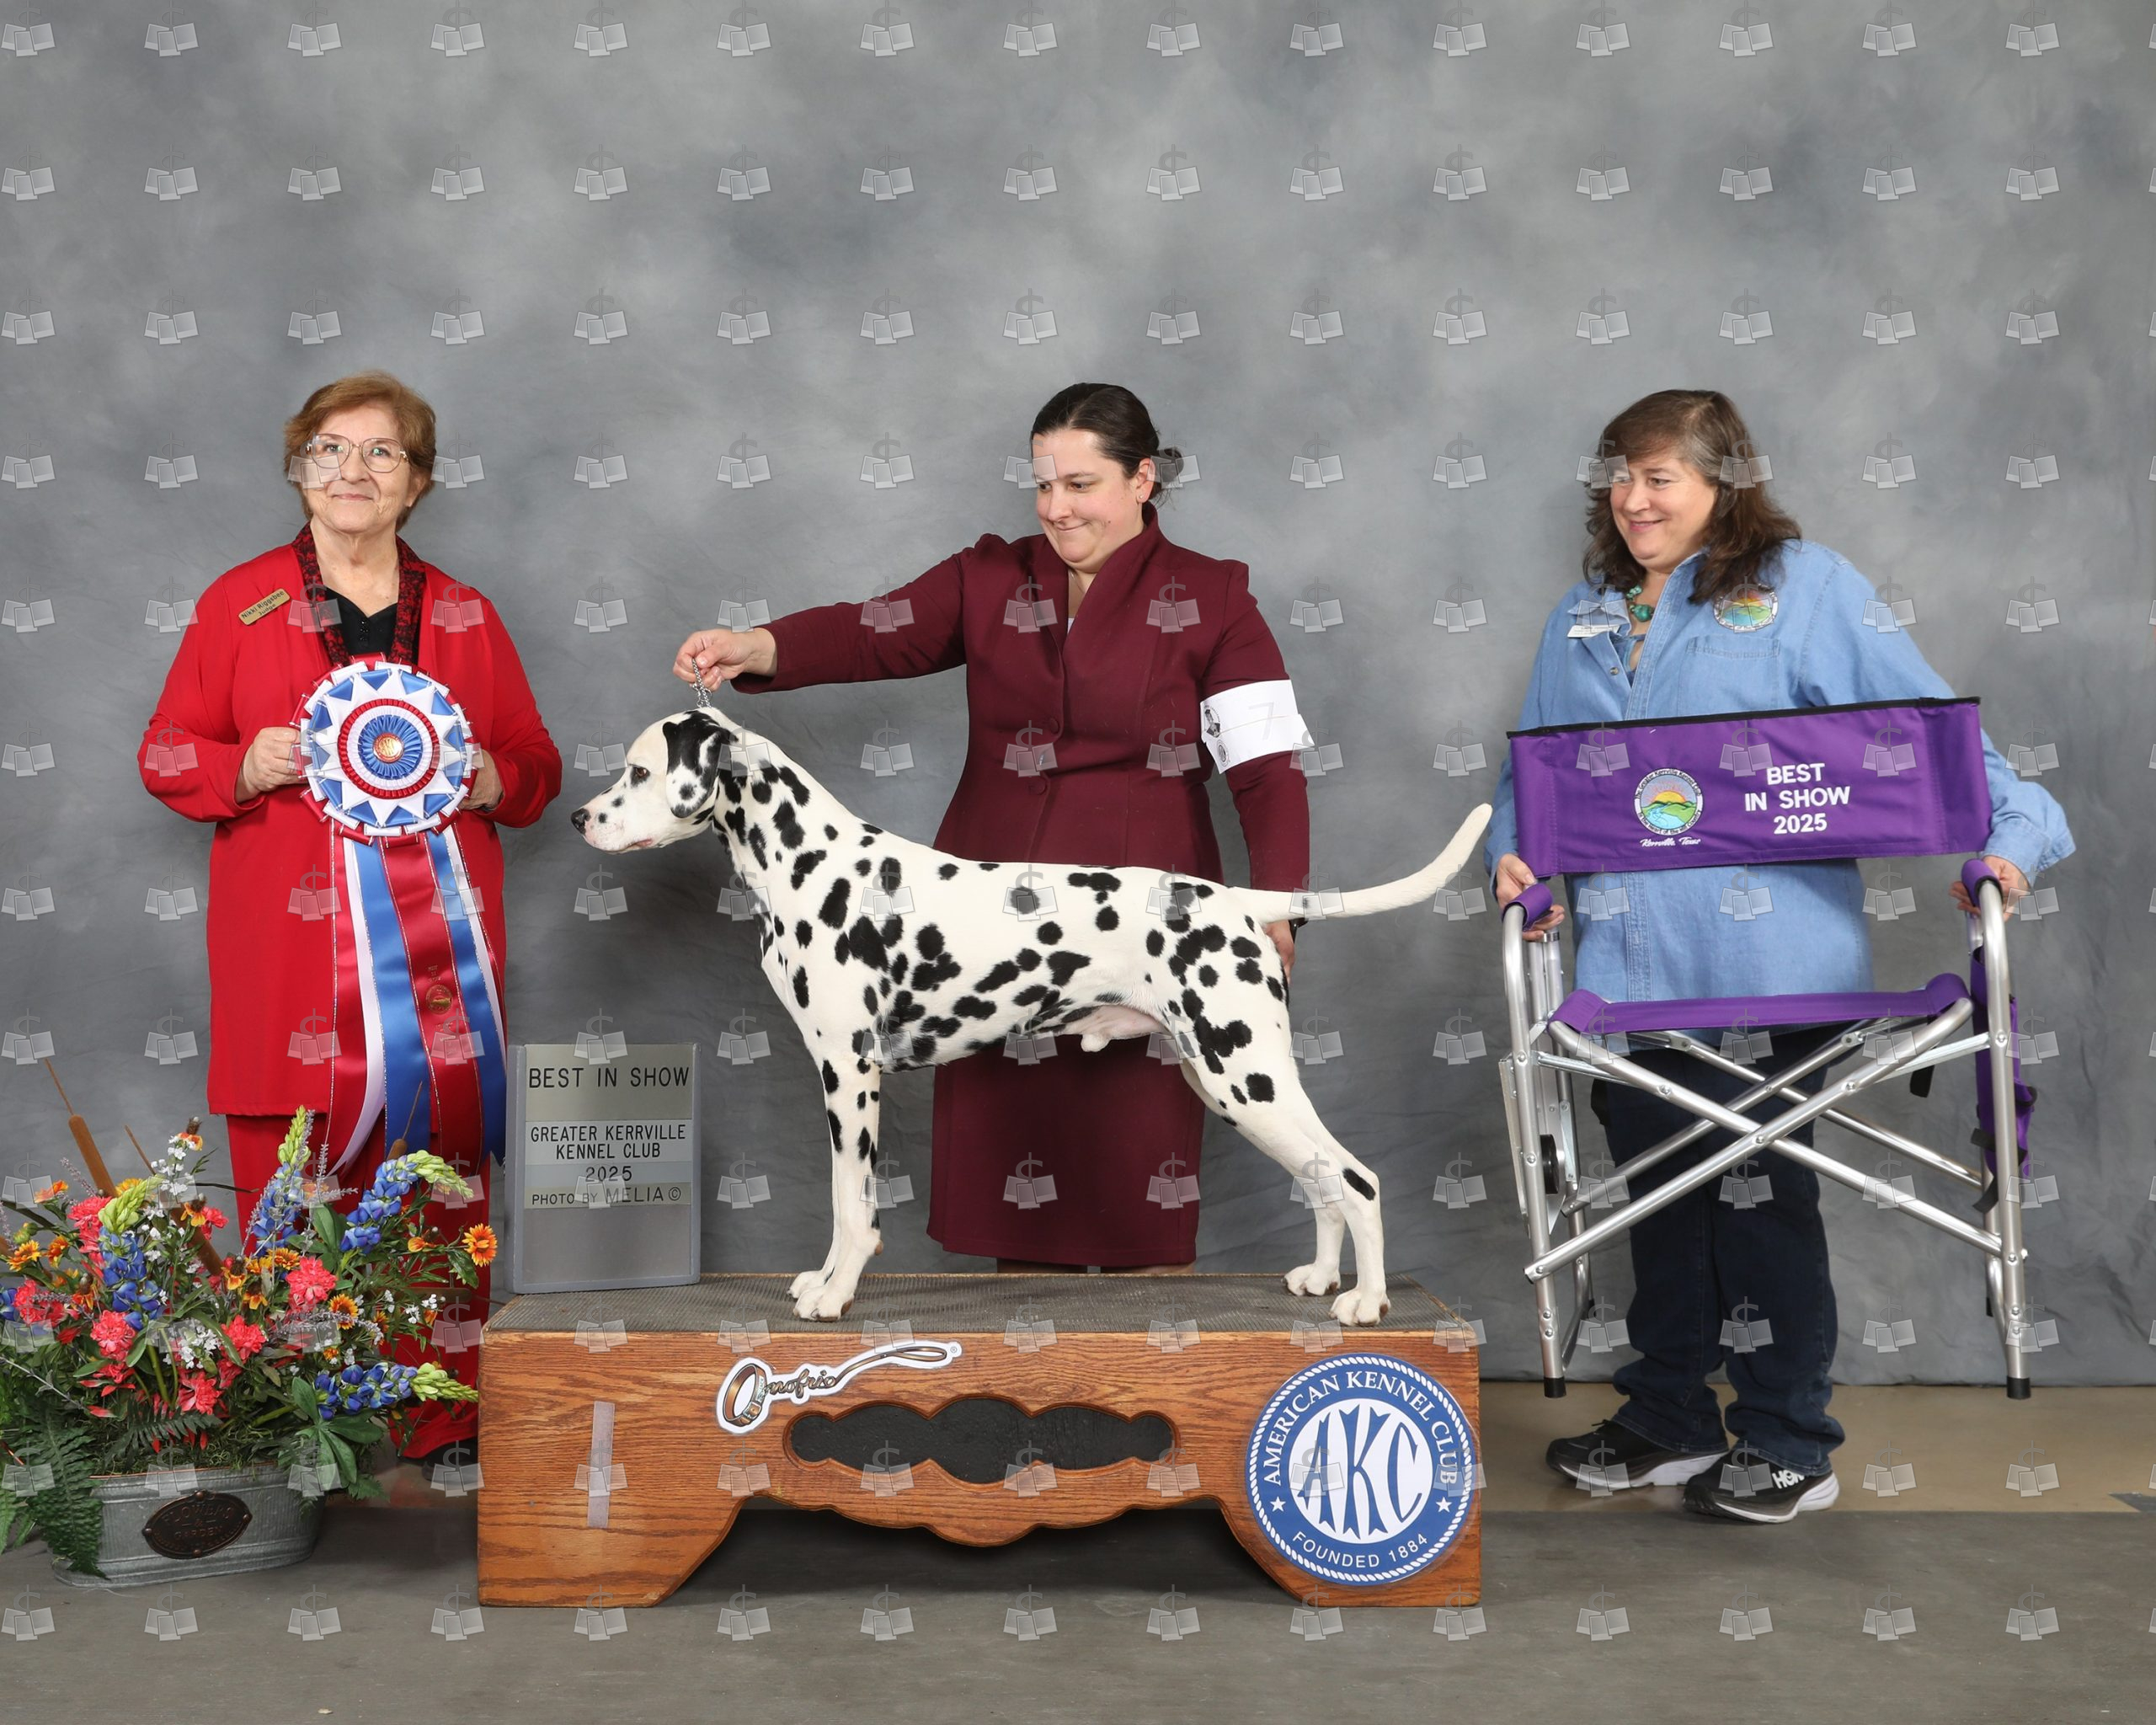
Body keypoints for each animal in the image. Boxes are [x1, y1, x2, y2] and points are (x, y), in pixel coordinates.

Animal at [573, 705, 1491, 1325]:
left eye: (639, 772)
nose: (581, 816)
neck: (811, 865)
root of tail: (1237, 901)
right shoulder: (840, 1075)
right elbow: (847, 1199)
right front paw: (823, 1280)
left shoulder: (850, 1071)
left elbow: (849, 1201)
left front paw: (835, 1293)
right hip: (1233, 1085)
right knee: (1322, 1180)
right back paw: (1322, 1279)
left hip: (1248, 1076)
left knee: (1356, 1179)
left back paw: (1367, 1303)